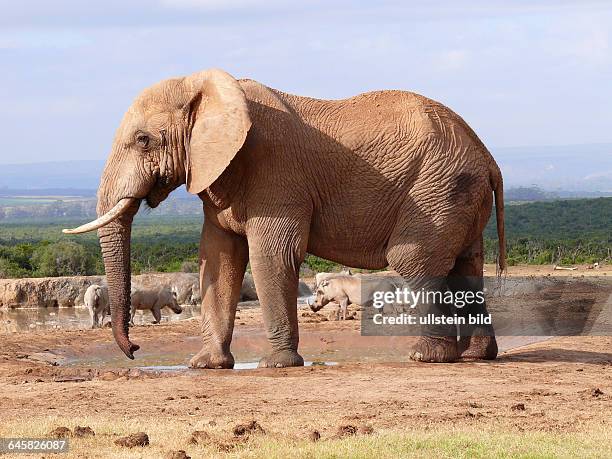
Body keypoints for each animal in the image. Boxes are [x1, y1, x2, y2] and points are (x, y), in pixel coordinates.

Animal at [64, 67, 506, 366]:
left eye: (143, 141)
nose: (135, 349)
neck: (208, 88)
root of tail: (488, 158)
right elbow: (218, 260)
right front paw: (207, 365)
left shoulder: (275, 174)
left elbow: (271, 256)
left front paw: (275, 364)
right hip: (455, 194)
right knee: (467, 264)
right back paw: (478, 355)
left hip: (437, 188)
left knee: (414, 260)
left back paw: (427, 356)